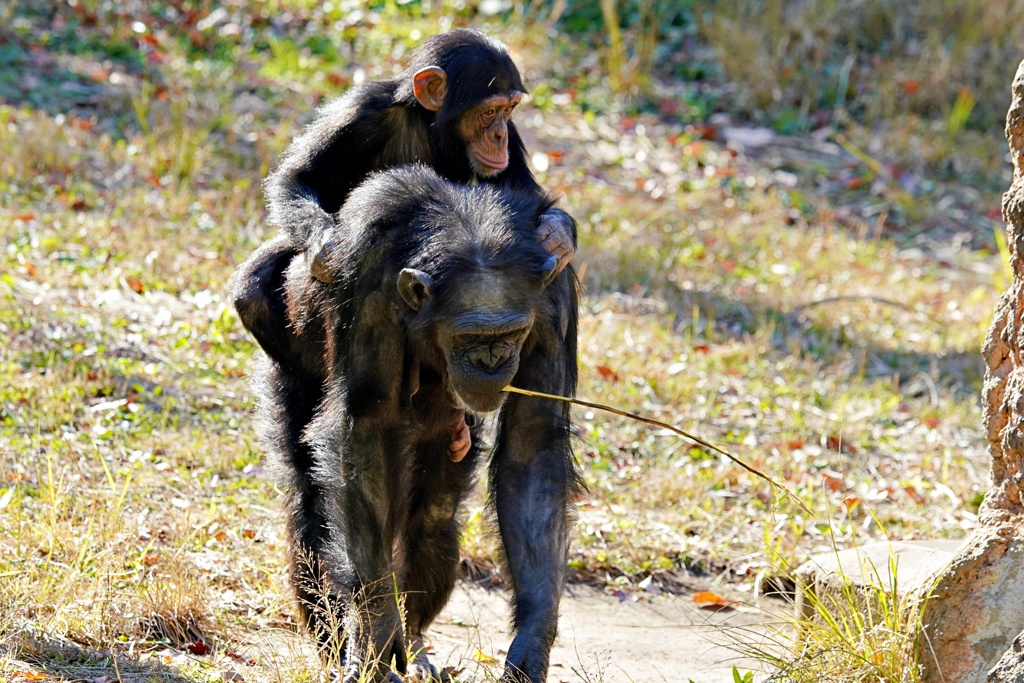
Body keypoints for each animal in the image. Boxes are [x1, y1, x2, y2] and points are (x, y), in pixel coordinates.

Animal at [234, 29, 577, 462]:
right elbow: (298, 177)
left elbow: (525, 196)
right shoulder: (362, 112)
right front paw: (328, 247)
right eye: (489, 112)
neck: (431, 129)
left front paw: (558, 234)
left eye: (510, 109)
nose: (498, 134)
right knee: (254, 292)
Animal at [239, 165, 577, 683]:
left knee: (434, 513)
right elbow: (365, 427)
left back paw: (415, 644)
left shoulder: (552, 302)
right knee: (313, 499)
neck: (470, 227)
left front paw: (532, 645)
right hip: (285, 364)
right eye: (470, 336)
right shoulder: (367, 284)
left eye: (513, 332)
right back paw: (341, 647)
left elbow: (531, 445)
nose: (493, 359)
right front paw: (376, 631)